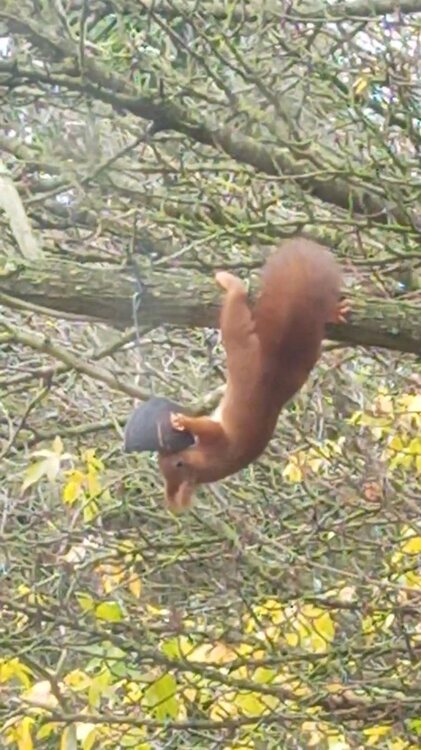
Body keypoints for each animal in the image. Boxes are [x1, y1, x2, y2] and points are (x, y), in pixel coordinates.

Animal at [124, 238, 349, 511]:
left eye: (176, 465)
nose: (161, 454)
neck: (210, 466)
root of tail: (270, 372)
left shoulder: (218, 439)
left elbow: (205, 427)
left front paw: (183, 421)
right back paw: (335, 312)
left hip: (241, 347)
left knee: (235, 307)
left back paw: (230, 282)